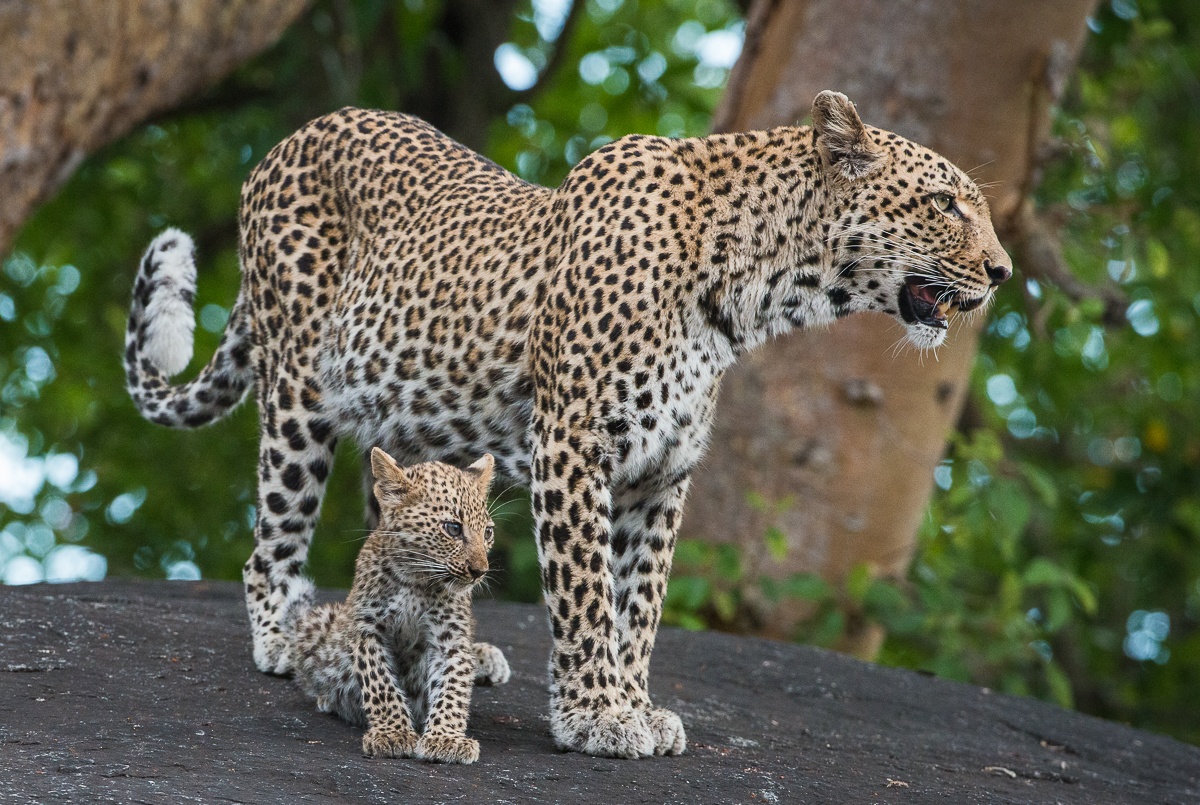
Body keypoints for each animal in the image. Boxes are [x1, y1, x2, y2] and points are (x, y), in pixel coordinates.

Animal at [286, 448, 508, 764]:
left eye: (487, 532)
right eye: (453, 528)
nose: (480, 571)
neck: (416, 579)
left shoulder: (450, 636)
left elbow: (453, 683)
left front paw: (447, 739)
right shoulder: (367, 627)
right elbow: (380, 682)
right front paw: (393, 734)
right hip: (320, 622)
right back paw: (328, 697)